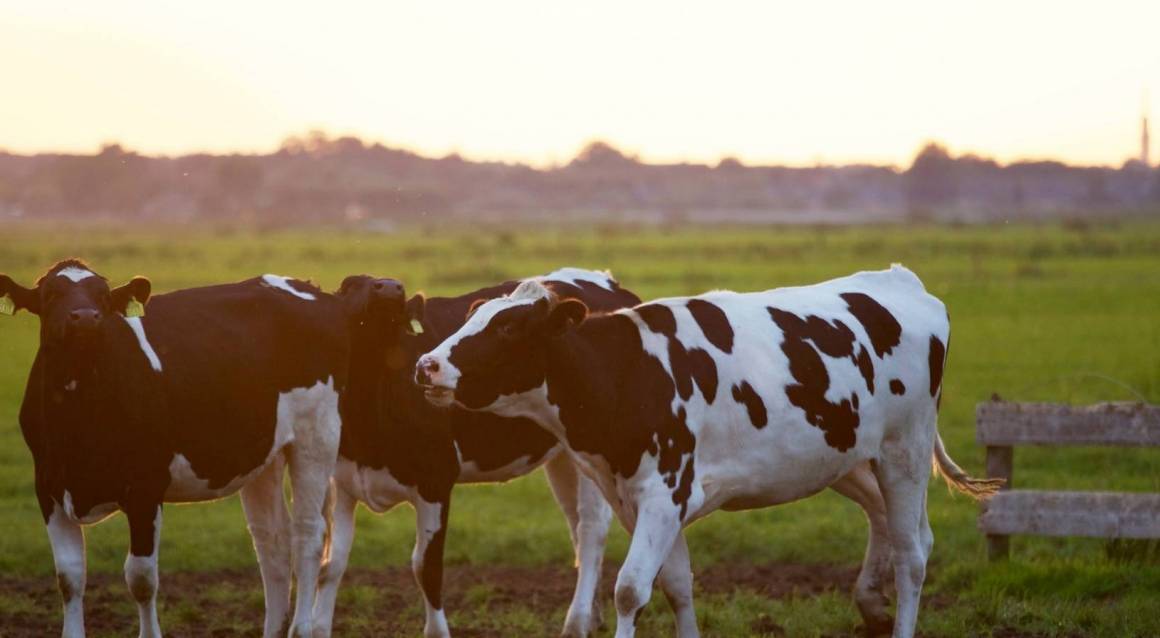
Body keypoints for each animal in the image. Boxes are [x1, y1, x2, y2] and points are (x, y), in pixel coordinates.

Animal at [0, 260, 410, 638]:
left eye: (102, 295)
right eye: (50, 295)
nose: (86, 318)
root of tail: (318, 293)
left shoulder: (145, 488)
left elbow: (141, 578)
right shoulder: (48, 488)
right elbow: (69, 576)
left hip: (317, 435)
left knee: (307, 536)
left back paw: (302, 627)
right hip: (265, 454)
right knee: (272, 543)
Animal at [313, 268, 641, 638]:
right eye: (349, 285)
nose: (390, 288)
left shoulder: (436, 481)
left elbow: (426, 567)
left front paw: (437, 631)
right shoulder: (344, 482)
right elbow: (332, 563)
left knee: (591, 530)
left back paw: (578, 621)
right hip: (565, 457)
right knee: (576, 527)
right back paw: (593, 614)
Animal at [415, 265, 1003, 638]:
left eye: (508, 327)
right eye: (472, 316)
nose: (426, 365)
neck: (627, 373)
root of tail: (900, 280)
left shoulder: (664, 492)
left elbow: (630, 590)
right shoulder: (641, 500)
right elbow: (675, 586)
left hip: (904, 452)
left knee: (913, 554)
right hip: (845, 457)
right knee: (889, 522)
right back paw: (871, 604)